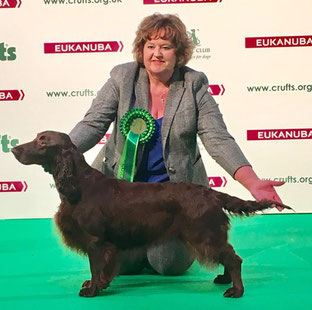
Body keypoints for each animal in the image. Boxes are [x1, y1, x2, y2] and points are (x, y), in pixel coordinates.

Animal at [12, 131, 290, 298]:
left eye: (43, 141)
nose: (14, 150)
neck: (79, 185)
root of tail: (211, 192)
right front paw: (97, 285)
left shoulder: (95, 241)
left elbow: (95, 267)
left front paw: (92, 290)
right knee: (229, 258)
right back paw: (224, 279)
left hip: (204, 235)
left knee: (234, 259)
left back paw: (236, 290)